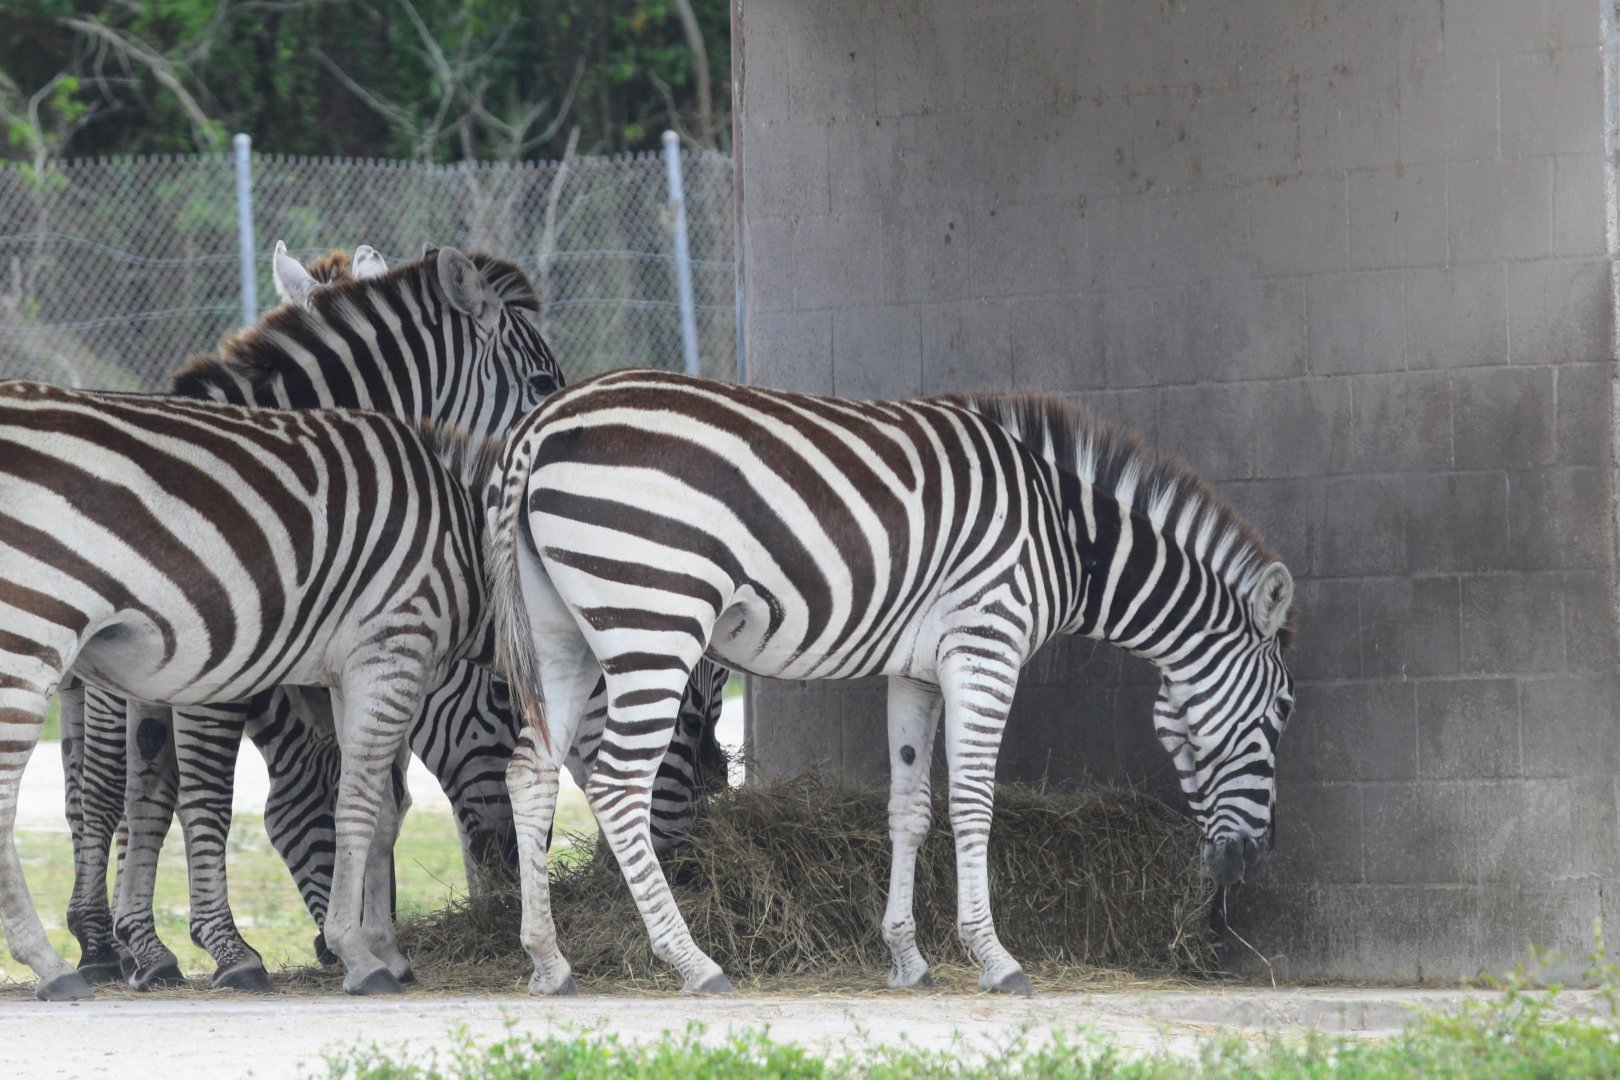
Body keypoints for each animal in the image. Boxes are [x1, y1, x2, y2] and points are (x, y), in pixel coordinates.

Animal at [0, 382, 499, 1000]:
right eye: (502, 712)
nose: (503, 870)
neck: (463, 541)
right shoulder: (390, 646)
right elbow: (353, 803)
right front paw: (360, 954)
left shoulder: (350, 669)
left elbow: (384, 807)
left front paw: (385, 950)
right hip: (30, 628)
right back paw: (50, 965)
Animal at [487, 369, 1297, 997]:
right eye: (1281, 713)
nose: (1252, 859)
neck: (1067, 538)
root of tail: (542, 421)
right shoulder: (985, 644)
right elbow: (972, 802)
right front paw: (995, 958)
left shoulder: (917, 672)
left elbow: (910, 808)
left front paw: (908, 958)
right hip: (655, 617)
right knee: (620, 783)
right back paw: (695, 963)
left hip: (562, 637)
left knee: (531, 771)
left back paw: (549, 963)